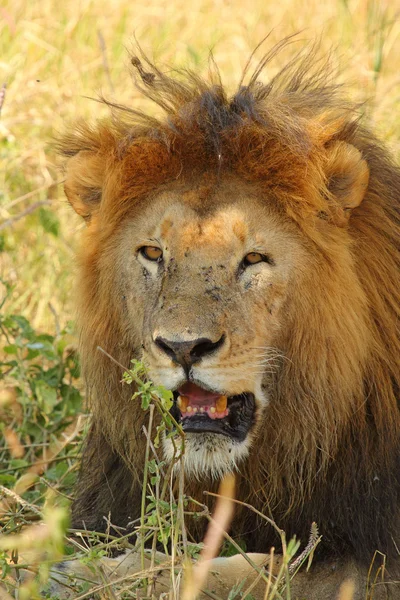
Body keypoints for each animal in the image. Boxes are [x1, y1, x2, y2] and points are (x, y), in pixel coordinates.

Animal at [58, 41, 400, 596]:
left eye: (254, 259)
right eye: (152, 252)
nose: (183, 347)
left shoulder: (375, 558)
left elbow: (261, 567)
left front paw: (92, 573)